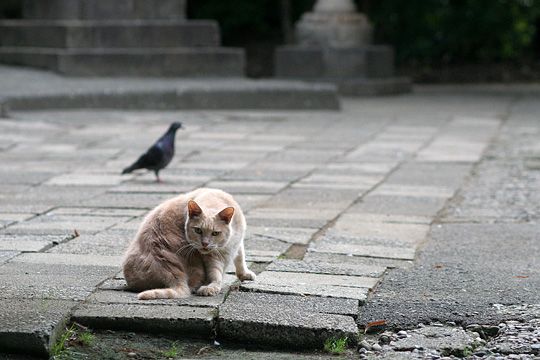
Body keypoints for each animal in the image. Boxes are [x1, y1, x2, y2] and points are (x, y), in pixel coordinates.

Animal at [123, 187, 256, 300]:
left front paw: (245, 274)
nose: (205, 243)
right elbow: (216, 274)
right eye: (198, 230)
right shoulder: (211, 258)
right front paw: (211, 287)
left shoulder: (238, 241)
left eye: (215, 233)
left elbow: (240, 258)